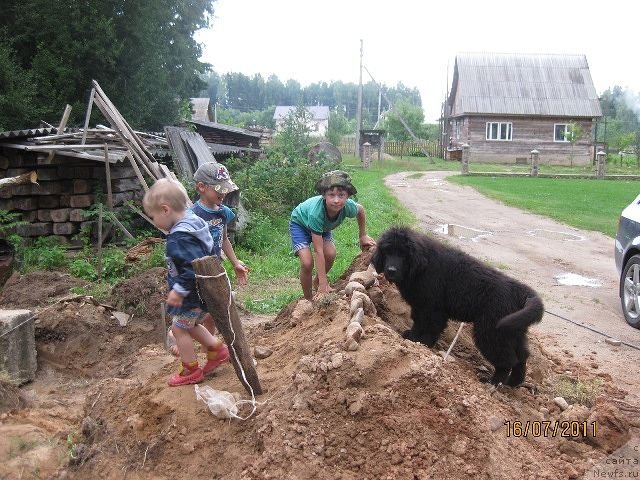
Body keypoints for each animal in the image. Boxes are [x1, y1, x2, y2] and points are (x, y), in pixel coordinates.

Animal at [370, 227, 544, 388]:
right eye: (387, 251)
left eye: (404, 255)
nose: (391, 271)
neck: (421, 267)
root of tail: (521, 291)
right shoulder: (421, 306)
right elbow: (418, 322)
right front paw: (413, 336)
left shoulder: (432, 307)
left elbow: (429, 327)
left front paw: (421, 342)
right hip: (513, 329)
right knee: (522, 356)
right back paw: (513, 382)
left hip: (491, 330)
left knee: (507, 360)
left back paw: (493, 382)